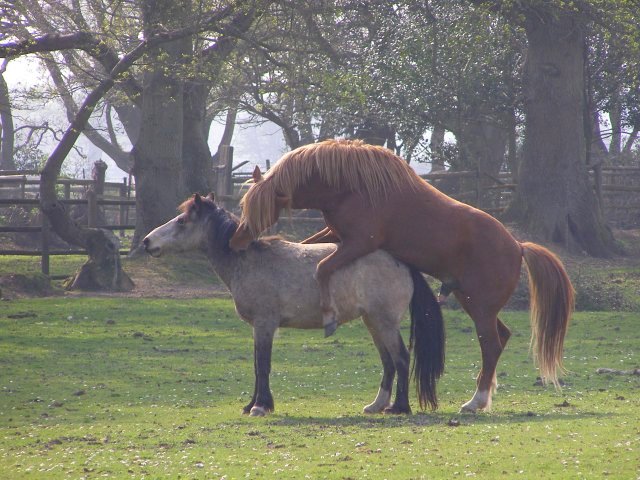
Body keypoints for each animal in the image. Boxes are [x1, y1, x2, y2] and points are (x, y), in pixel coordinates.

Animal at [230, 139, 576, 412]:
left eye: (258, 207)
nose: (237, 240)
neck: (350, 185)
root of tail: (517, 246)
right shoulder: (336, 235)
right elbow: (310, 250)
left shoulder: (357, 242)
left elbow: (322, 267)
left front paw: (328, 314)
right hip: (473, 302)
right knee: (500, 338)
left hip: (479, 307)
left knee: (490, 344)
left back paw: (475, 401)